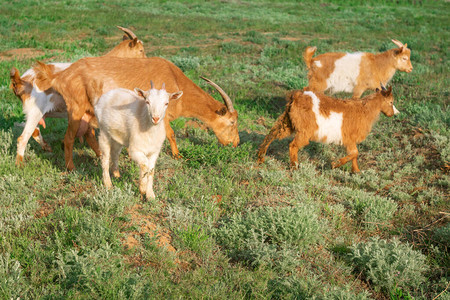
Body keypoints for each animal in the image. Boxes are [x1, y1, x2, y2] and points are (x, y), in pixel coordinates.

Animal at [9, 26, 145, 165]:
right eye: (141, 50)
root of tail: (20, 81)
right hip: (35, 112)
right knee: (23, 138)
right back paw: (20, 164)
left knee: (35, 132)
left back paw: (47, 147)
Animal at [33, 56, 239, 171]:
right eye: (232, 122)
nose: (235, 143)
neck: (174, 78)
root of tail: (61, 76)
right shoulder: (161, 115)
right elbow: (171, 134)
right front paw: (178, 155)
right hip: (75, 109)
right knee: (68, 138)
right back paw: (70, 167)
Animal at [258, 86, 400, 172]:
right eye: (391, 102)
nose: (395, 113)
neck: (365, 110)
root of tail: (296, 96)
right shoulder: (349, 138)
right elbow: (355, 153)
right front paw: (334, 164)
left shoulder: (351, 139)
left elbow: (354, 155)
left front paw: (356, 172)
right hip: (304, 130)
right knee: (293, 145)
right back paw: (295, 167)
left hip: (288, 121)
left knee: (272, 134)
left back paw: (260, 158)